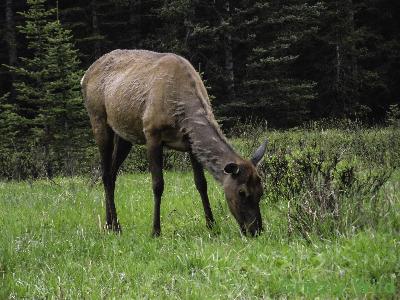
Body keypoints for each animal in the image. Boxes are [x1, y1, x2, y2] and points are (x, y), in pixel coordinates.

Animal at [81, 49, 268, 237]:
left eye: (261, 191)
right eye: (242, 192)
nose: (256, 230)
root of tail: (85, 76)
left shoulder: (190, 144)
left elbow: (201, 184)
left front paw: (211, 225)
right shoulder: (152, 134)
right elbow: (158, 185)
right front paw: (156, 230)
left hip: (124, 135)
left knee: (112, 174)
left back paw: (111, 224)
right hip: (98, 119)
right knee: (105, 174)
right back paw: (114, 226)